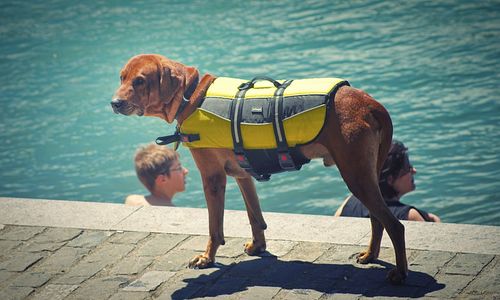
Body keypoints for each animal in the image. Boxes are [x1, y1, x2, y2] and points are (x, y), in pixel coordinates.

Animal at [111, 54, 408, 284]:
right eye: (121, 77)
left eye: (139, 80)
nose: (114, 103)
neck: (192, 96)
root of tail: (370, 103)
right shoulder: (243, 174)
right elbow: (255, 217)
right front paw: (257, 246)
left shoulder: (213, 178)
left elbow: (214, 228)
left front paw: (208, 258)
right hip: (366, 175)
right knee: (377, 220)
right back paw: (370, 255)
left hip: (356, 176)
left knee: (395, 225)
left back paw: (400, 274)